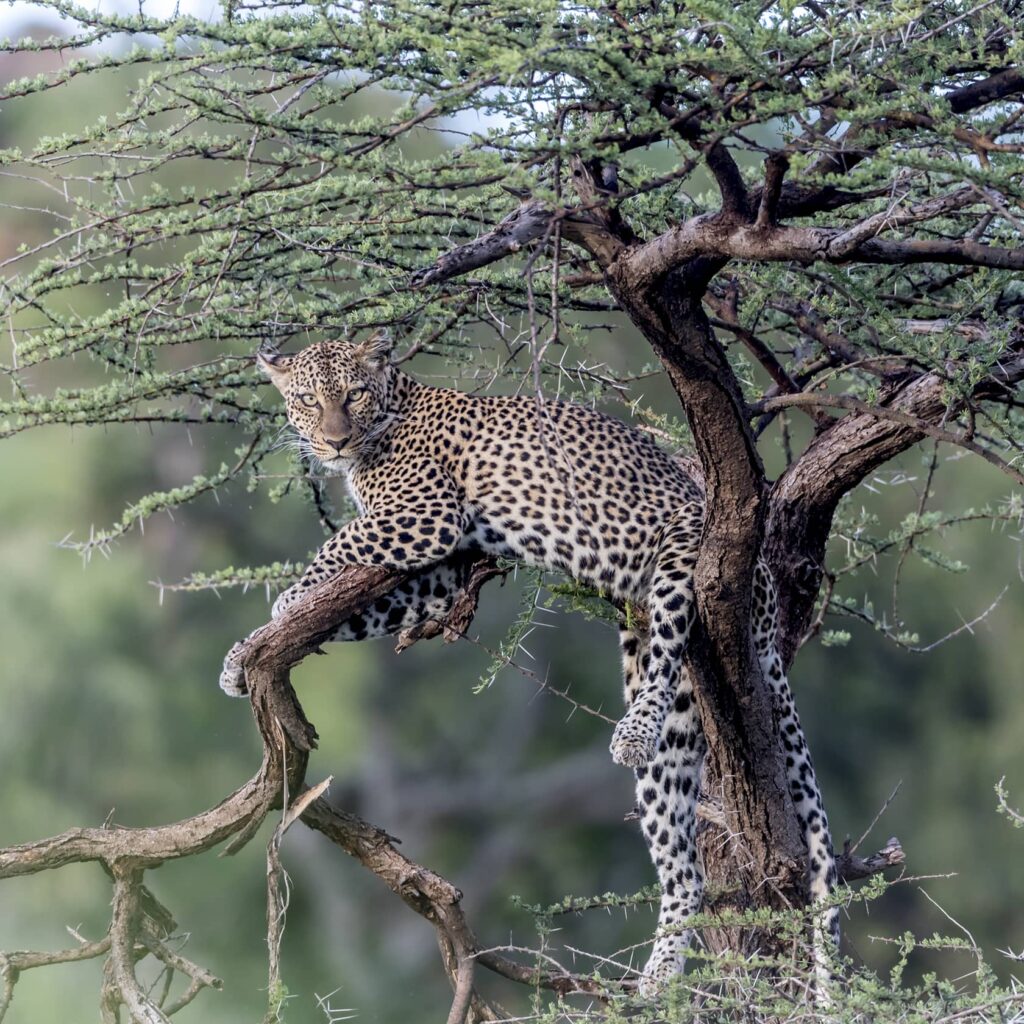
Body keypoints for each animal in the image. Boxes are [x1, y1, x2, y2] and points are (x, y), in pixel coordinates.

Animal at [219, 334, 838, 996]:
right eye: (310, 401)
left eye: (353, 394)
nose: (334, 440)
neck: (389, 415)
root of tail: (769, 604)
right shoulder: (444, 570)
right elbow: (365, 602)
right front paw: (244, 654)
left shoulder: (424, 516)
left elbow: (336, 543)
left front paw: (287, 602)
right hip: (680, 721)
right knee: (684, 865)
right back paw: (657, 977)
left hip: (687, 544)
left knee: (674, 633)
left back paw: (632, 731)